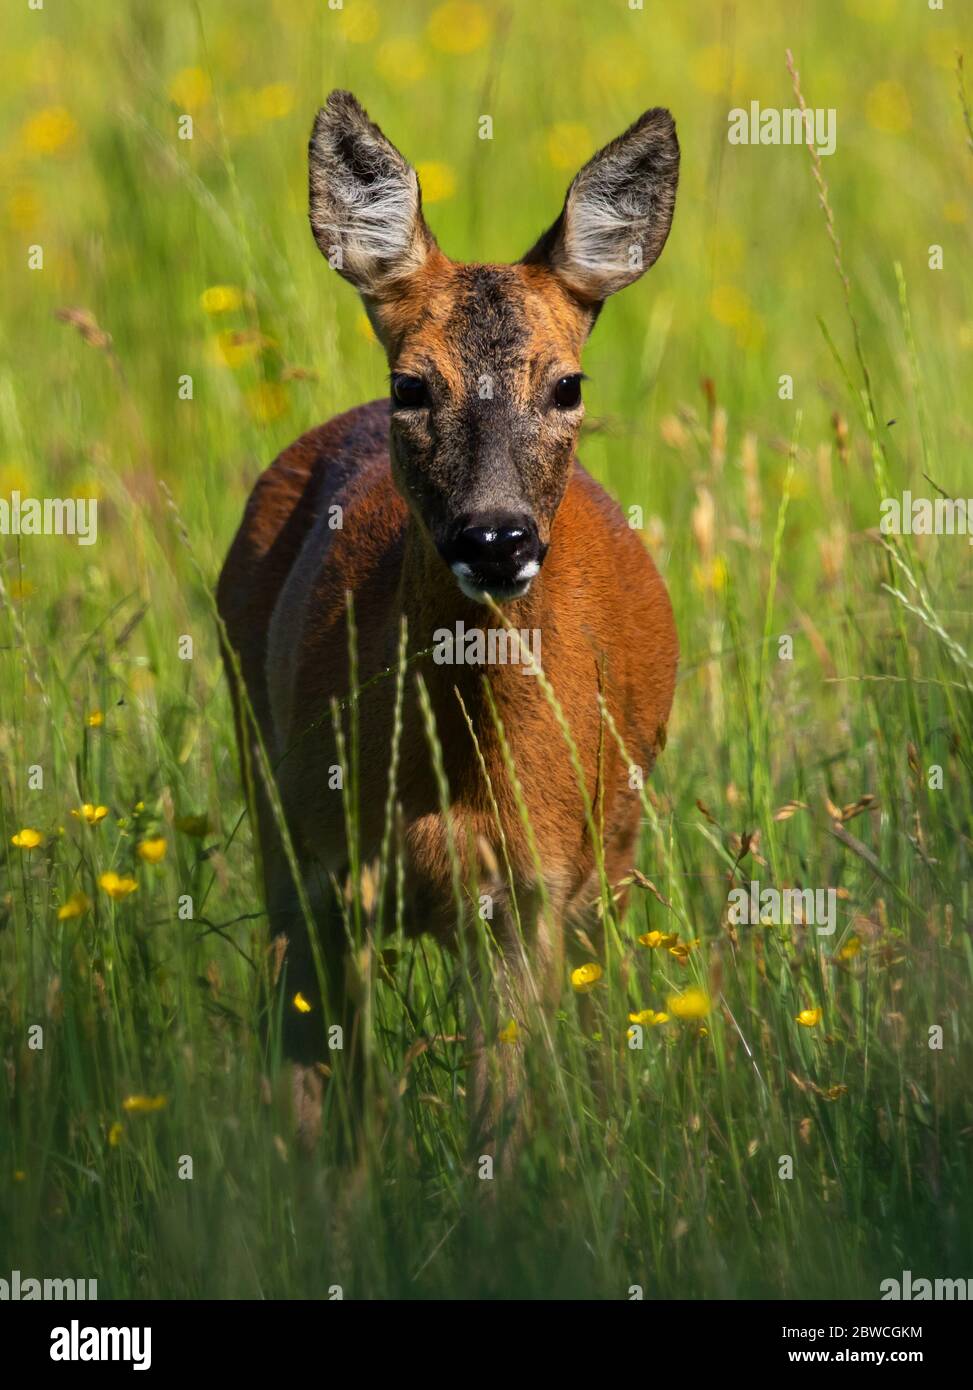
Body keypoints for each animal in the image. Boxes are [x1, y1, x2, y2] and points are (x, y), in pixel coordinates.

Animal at [217, 90, 679, 1164]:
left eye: (568, 385)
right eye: (412, 385)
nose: (495, 536)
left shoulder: (528, 899)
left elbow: (497, 1126)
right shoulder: (318, 875)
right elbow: (330, 1118)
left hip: (613, 863)